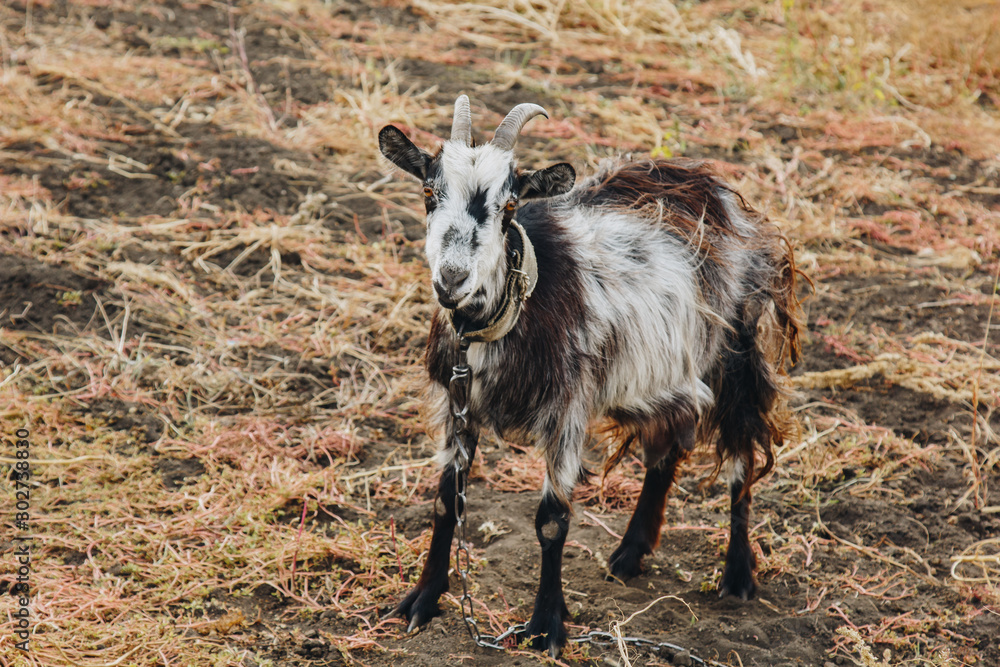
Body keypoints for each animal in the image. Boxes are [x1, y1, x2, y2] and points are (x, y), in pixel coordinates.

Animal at [378, 95, 802, 658]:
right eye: (428, 192)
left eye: (509, 207)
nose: (452, 278)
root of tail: (713, 185)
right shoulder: (457, 403)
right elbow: (447, 502)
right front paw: (423, 600)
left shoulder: (567, 409)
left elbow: (552, 523)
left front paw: (545, 627)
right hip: (659, 374)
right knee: (668, 446)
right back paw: (630, 553)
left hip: (736, 353)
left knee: (740, 455)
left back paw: (737, 576)